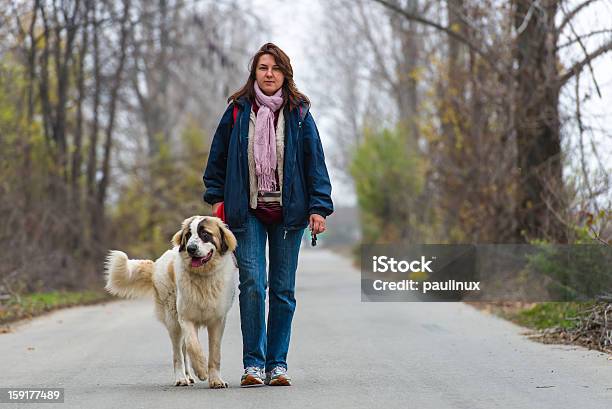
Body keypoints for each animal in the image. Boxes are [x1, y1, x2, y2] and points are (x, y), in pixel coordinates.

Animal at [104, 215, 238, 388]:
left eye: (205, 234)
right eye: (188, 235)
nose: (191, 248)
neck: (203, 277)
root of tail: (157, 263)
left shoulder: (218, 320)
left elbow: (215, 353)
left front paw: (216, 380)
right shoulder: (185, 318)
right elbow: (193, 346)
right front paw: (201, 370)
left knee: (183, 349)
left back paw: (189, 376)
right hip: (173, 320)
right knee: (178, 353)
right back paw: (181, 378)